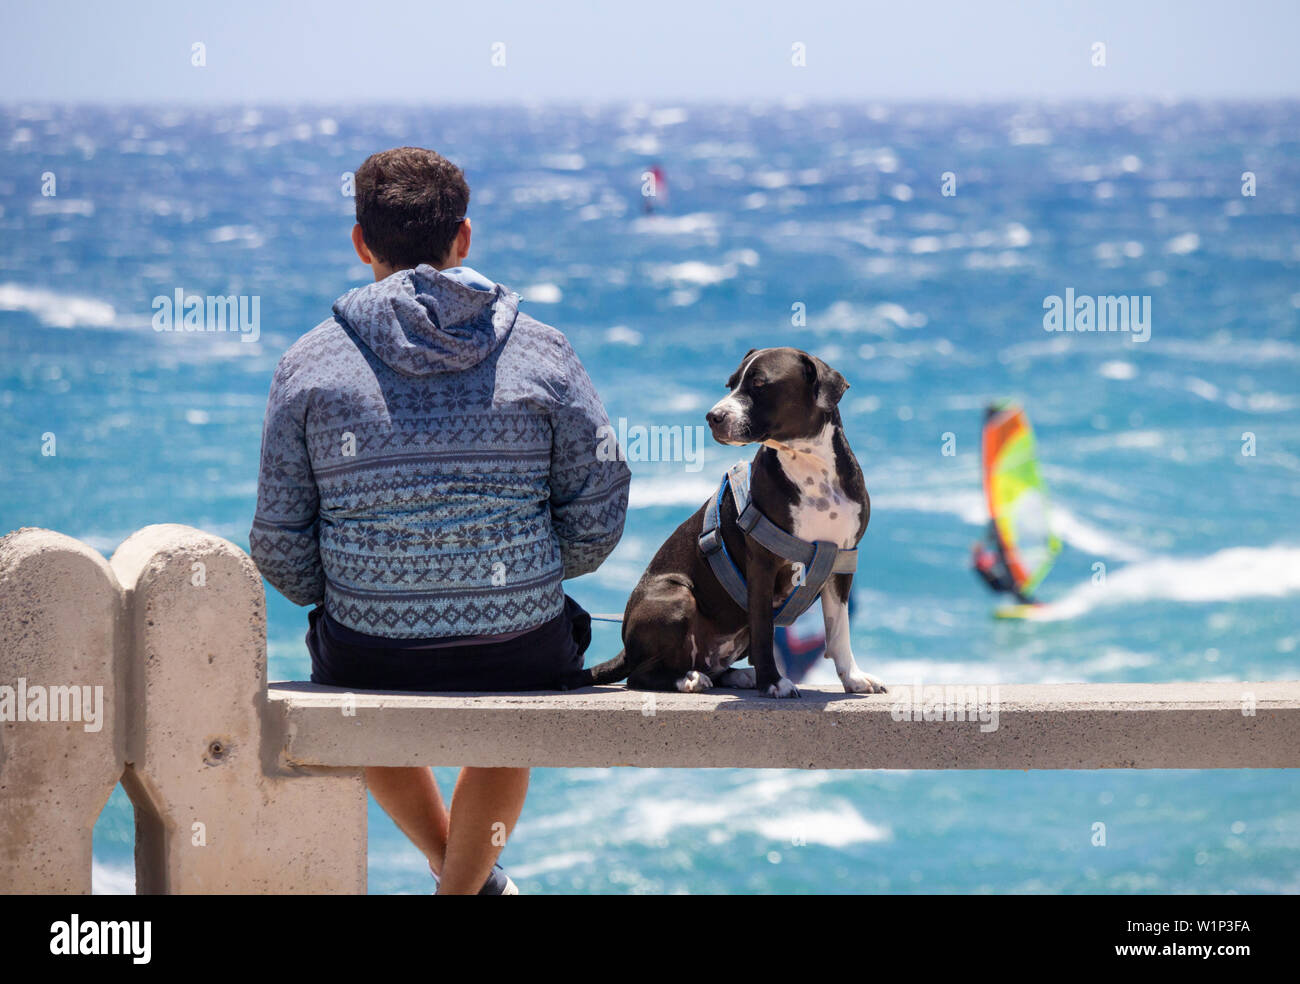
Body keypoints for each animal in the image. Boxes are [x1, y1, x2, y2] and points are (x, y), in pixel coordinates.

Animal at [569, 348, 883, 696]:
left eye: (759, 383)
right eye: (730, 384)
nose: (712, 416)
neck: (809, 466)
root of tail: (626, 645)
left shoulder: (840, 561)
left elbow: (838, 629)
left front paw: (853, 677)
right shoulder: (762, 564)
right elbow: (764, 630)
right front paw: (774, 682)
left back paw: (738, 675)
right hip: (678, 595)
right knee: (642, 675)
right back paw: (688, 679)